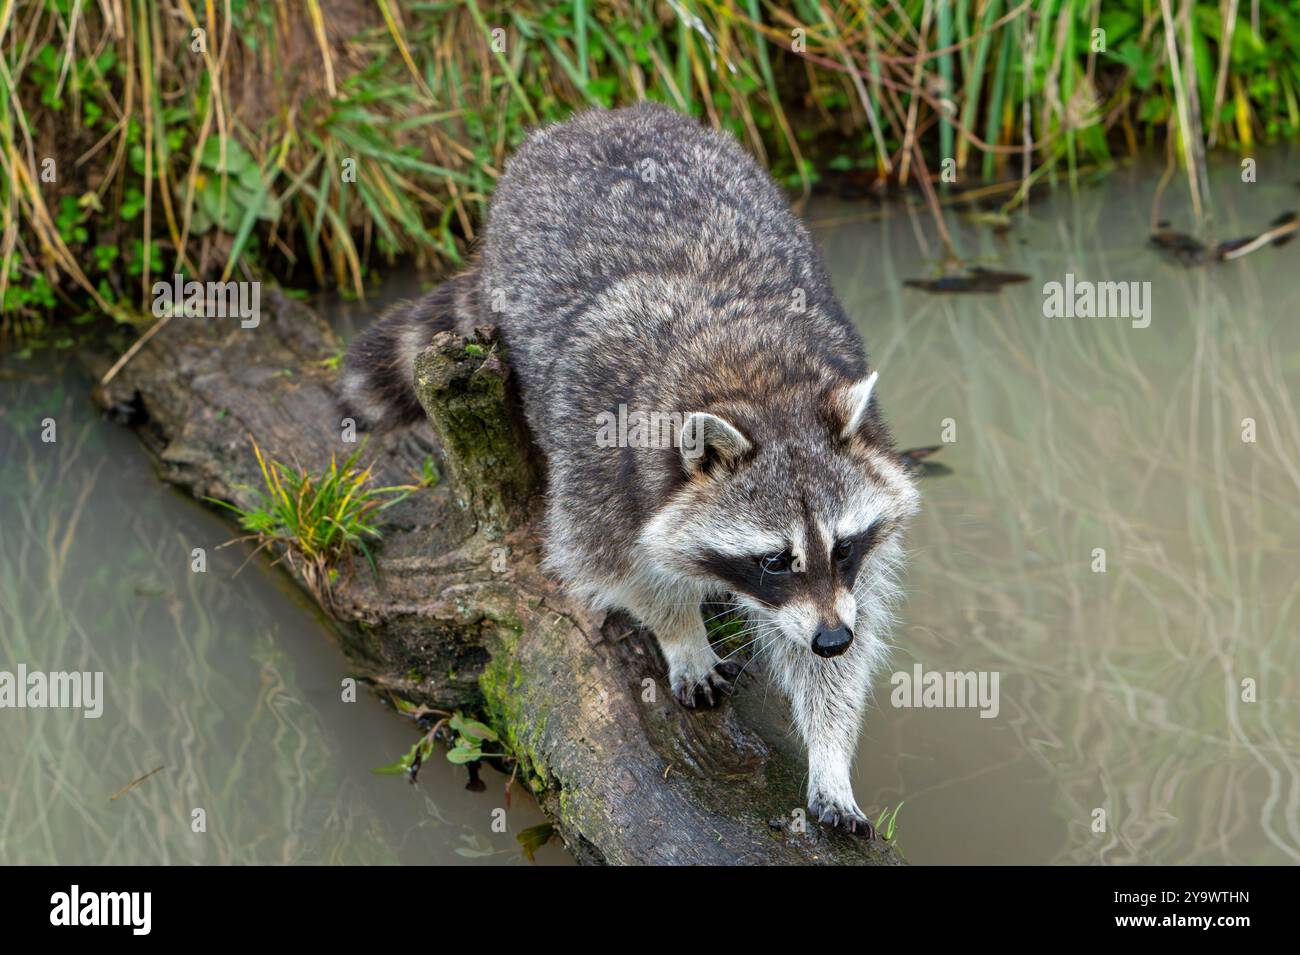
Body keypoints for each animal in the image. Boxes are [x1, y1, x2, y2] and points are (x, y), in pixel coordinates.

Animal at [342, 103, 920, 835]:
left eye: (844, 545)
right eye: (772, 559)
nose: (831, 639)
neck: (753, 379)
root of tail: (598, 117)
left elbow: (848, 625)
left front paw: (830, 752)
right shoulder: (602, 454)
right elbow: (612, 563)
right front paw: (681, 632)